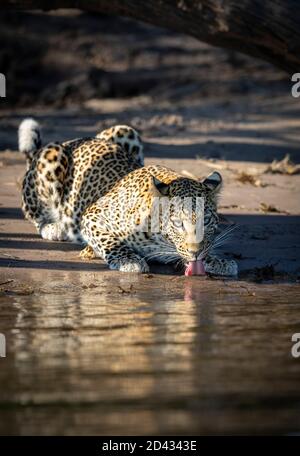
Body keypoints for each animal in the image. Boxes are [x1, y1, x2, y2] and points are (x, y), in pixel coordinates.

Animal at [19, 117, 239, 276]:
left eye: (206, 220)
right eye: (178, 223)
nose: (196, 253)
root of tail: (71, 141)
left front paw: (215, 260)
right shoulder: (93, 216)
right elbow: (110, 241)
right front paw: (129, 260)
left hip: (126, 131)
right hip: (52, 157)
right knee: (34, 214)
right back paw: (53, 227)